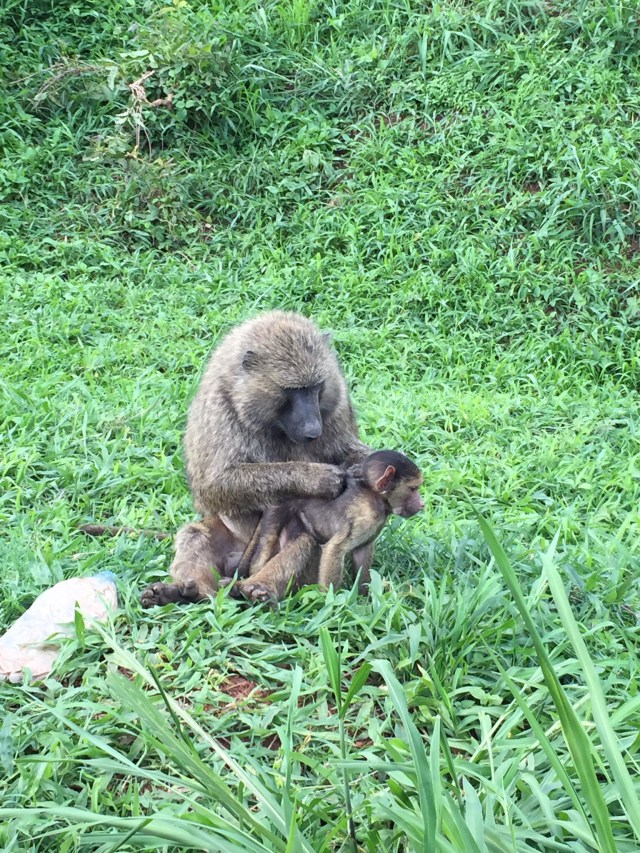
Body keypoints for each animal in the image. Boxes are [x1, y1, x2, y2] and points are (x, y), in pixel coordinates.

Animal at [141, 311, 372, 608]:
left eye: (315, 388)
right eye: (292, 390)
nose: (313, 430)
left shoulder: (337, 403)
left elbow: (351, 452)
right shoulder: (219, 408)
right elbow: (213, 485)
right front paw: (317, 479)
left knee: (305, 540)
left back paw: (258, 589)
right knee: (194, 534)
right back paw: (187, 592)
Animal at [221, 450, 424, 603]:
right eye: (413, 489)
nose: (421, 504)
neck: (374, 498)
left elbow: (362, 552)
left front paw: (365, 596)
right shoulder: (364, 517)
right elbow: (334, 549)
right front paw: (329, 603)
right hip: (275, 517)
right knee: (284, 540)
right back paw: (249, 586)